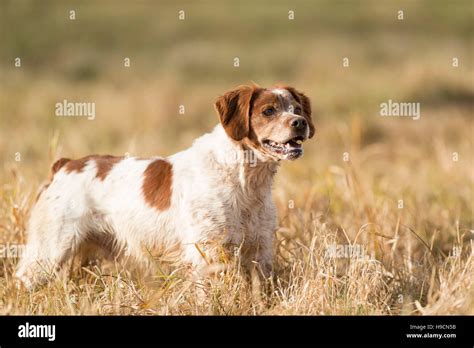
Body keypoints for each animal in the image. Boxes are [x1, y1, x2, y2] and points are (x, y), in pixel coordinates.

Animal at [16, 83, 314, 288]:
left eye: (297, 110)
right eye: (268, 111)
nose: (299, 123)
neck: (245, 180)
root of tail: (64, 165)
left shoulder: (259, 250)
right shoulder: (207, 251)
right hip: (49, 250)